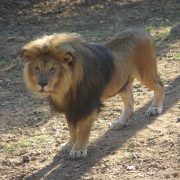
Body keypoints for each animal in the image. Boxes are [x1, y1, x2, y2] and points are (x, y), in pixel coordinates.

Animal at [22, 27, 165, 158]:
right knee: (129, 102)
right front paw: (70, 144)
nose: (42, 84)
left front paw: (78, 149)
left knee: (160, 85)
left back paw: (155, 108)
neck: (65, 87)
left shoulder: (88, 105)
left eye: (52, 69)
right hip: (121, 84)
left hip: (145, 73)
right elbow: (71, 129)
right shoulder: (70, 107)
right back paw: (121, 122)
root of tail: (142, 30)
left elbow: (83, 130)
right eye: (37, 68)